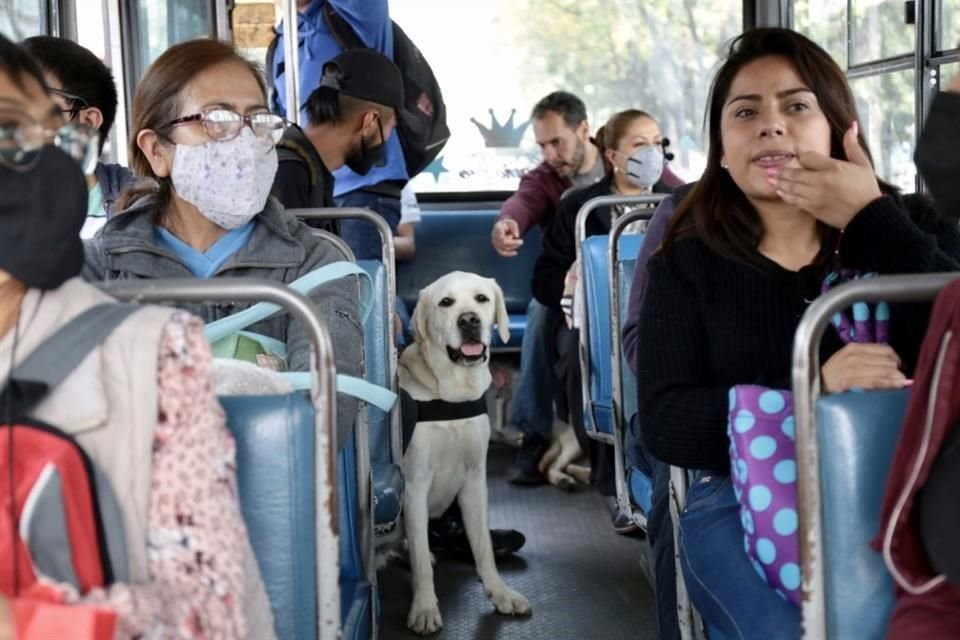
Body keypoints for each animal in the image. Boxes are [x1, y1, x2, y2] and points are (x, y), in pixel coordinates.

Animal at [400, 270, 532, 636]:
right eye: (446, 302)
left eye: (481, 299)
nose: (469, 320)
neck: (453, 394)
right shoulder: (414, 486)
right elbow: (421, 562)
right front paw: (424, 608)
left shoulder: (474, 480)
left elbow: (483, 549)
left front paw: (500, 593)